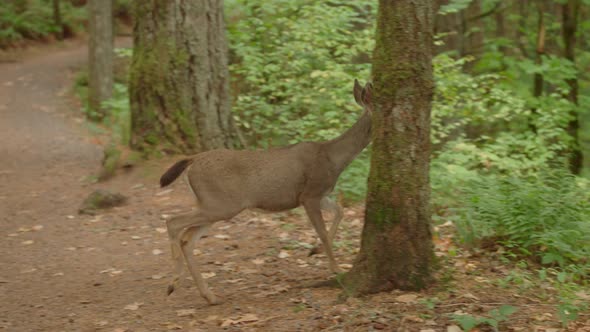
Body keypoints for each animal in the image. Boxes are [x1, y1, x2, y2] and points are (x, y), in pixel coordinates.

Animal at [161, 80, 374, 304]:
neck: (333, 159)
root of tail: (193, 160)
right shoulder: (309, 195)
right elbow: (323, 231)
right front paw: (336, 268)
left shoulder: (319, 194)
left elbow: (340, 211)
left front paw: (315, 251)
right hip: (220, 204)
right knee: (173, 222)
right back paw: (174, 283)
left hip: (212, 205)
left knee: (187, 239)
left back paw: (208, 295)